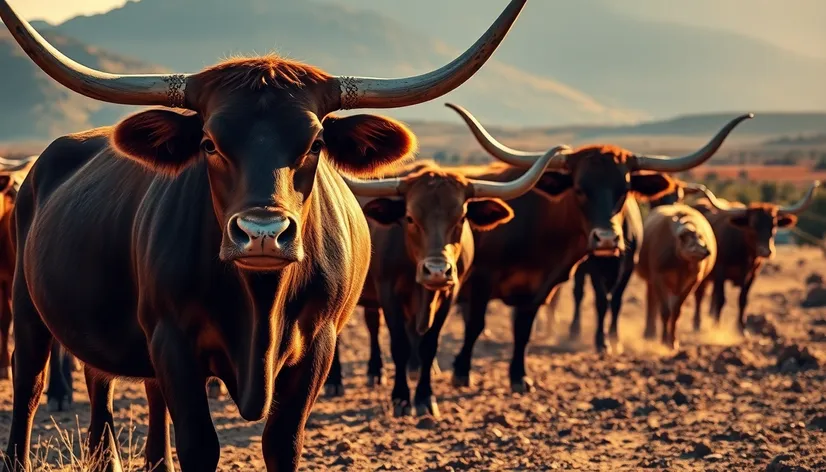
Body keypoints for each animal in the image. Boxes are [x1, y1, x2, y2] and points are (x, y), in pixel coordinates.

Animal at [0, 0, 524, 470]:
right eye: (209, 143)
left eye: (316, 143)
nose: (263, 233)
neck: (259, 303)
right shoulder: (173, 341)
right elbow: (199, 446)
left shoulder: (317, 345)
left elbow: (282, 444)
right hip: (28, 308)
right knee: (29, 387)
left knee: (111, 387)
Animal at [322, 148, 568, 416]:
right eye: (410, 217)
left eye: (461, 217)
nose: (437, 271)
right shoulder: (389, 294)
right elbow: (399, 345)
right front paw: (401, 399)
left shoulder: (448, 296)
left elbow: (429, 345)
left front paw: (424, 398)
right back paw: (334, 382)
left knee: (373, 324)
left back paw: (375, 372)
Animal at [636, 201, 716, 348]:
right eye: (686, 237)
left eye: (701, 236)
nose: (706, 251)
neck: (679, 262)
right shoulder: (658, 278)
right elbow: (665, 310)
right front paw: (663, 340)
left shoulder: (691, 282)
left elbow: (676, 311)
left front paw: (672, 341)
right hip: (652, 282)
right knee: (651, 302)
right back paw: (649, 333)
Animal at [688, 182, 816, 336]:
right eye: (753, 224)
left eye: (774, 224)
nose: (766, 251)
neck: (743, 252)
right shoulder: (720, 271)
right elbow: (721, 299)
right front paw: (716, 327)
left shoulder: (752, 274)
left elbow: (743, 299)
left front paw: (741, 329)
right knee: (699, 295)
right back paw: (697, 324)